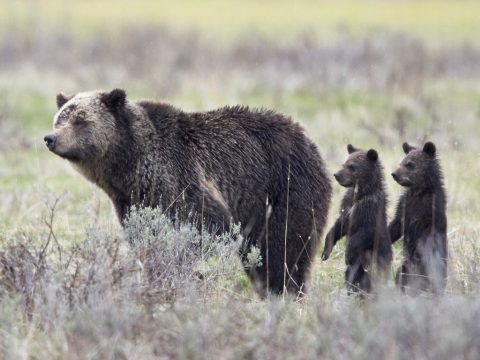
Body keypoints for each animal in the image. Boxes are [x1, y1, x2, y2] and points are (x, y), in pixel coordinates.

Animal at [44, 88, 330, 296]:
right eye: (60, 118)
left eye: (80, 120)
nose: (50, 138)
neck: (130, 165)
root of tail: (310, 142)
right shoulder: (132, 201)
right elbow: (145, 237)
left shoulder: (179, 176)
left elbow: (206, 223)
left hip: (284, 188)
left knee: (281, 248)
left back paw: (284, 290)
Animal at [320, 145, 392, 296]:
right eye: (344, 164)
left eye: (352, 166)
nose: (336, 174)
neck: (359, 194)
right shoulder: (347, 208)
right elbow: (338, 226)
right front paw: (325, 252)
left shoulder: (370, 211)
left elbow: (364, 233)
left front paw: (348, 252)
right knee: (352, 275)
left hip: (376, 261)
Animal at [390, 141, 446, 296]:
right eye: (401, 162)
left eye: (410, 164)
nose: (394, 174)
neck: (419, 192)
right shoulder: (404, 207)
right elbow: (395, 226)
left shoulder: (429, 213)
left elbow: (424, 237)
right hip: (406, 269)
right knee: (401, 275)